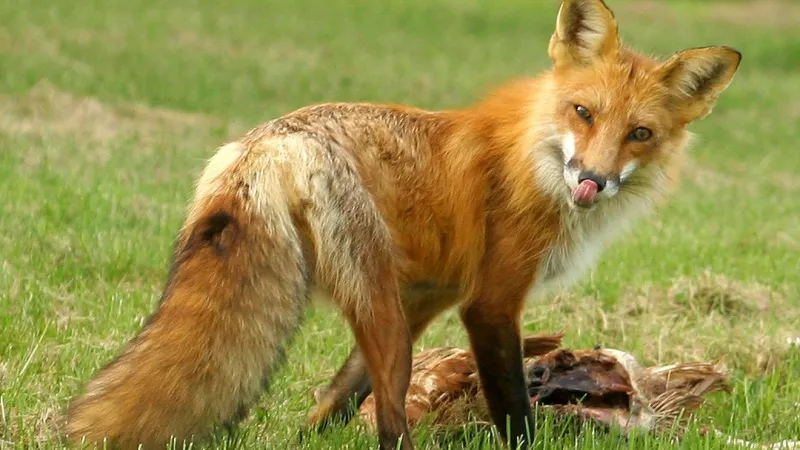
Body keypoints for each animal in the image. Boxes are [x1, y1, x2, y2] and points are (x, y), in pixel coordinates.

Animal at [64, 0, 741, 449]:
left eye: (640, 134)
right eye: (583, 112)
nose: (593, 181)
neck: (535, 158)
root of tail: (268, 142)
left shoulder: (428, 298)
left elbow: (332, 399)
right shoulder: (489, 305)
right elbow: (516, 416)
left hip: (389, 316)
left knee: (342, 409)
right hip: (384, 315)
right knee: (391, 425)